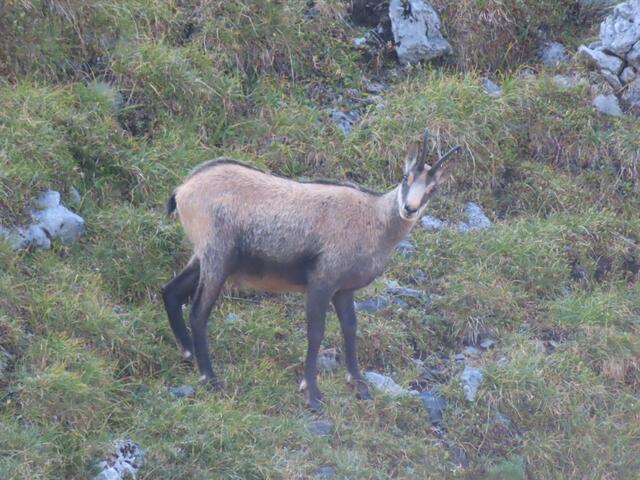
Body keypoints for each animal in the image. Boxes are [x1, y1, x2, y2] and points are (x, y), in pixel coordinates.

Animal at [162, 129, 460, 410]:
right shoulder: (322, 281)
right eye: (405, 177)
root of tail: (183, 189)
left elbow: (350, 328)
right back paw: (210, 378)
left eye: (432, 189)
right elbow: (316, 332)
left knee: (170, 291)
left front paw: (359, 384)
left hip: (204, 257)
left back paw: (188, 352)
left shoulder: (343, 289)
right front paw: (312, 393)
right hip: (218, 257)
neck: (374, 220)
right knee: (198, 311)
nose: (409, 208)